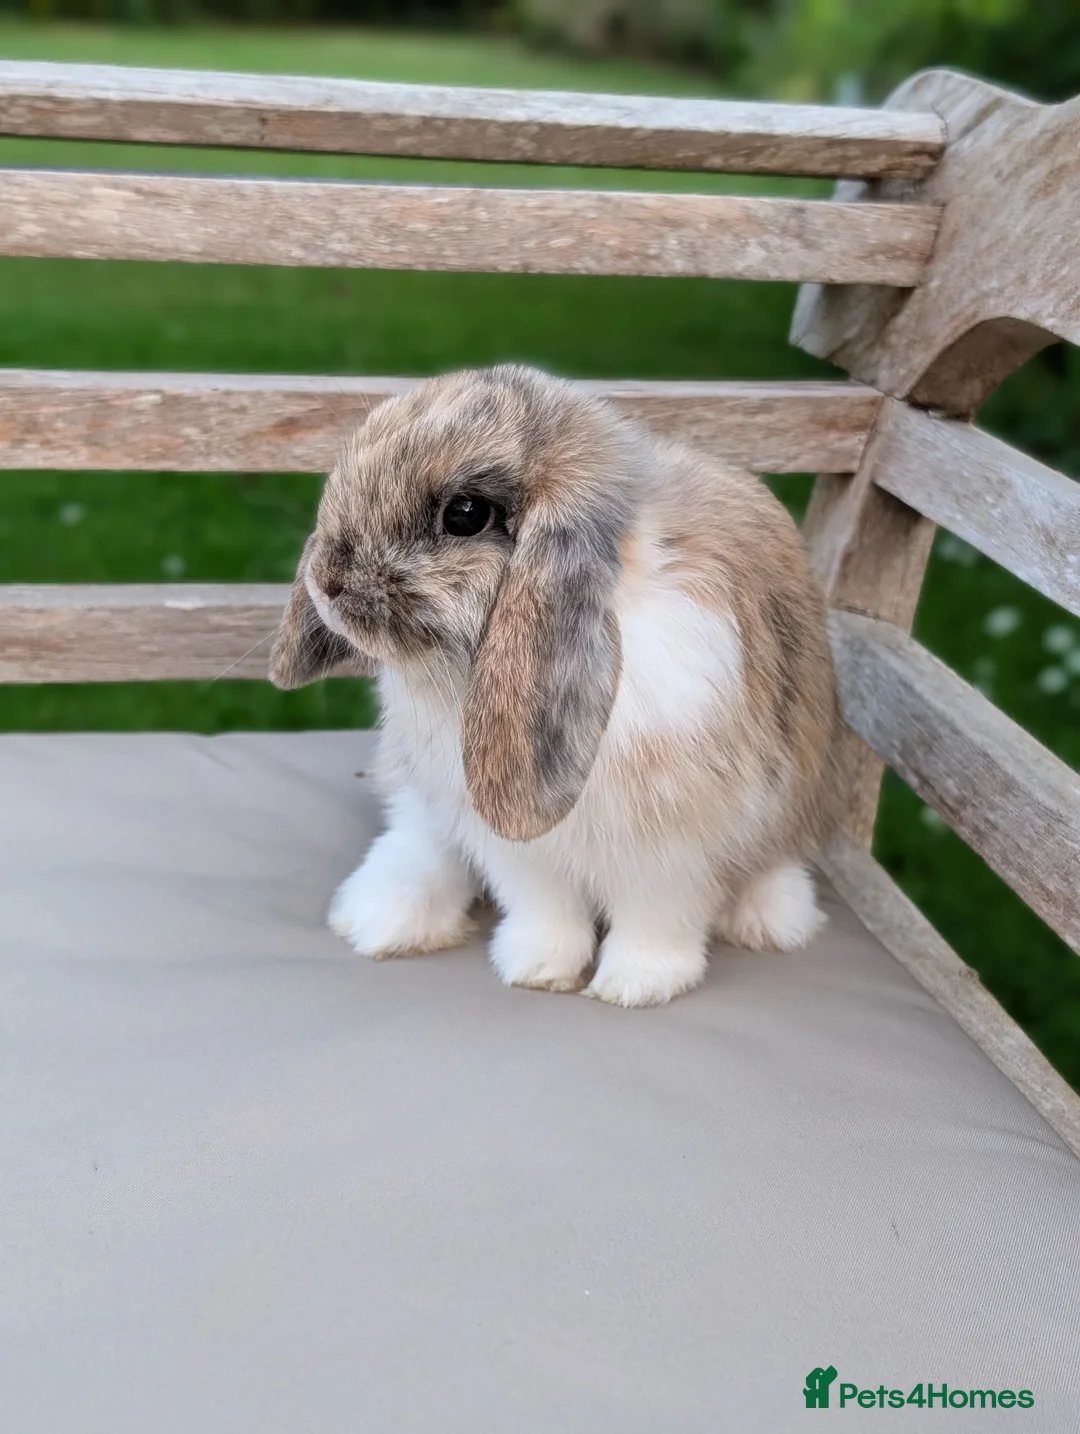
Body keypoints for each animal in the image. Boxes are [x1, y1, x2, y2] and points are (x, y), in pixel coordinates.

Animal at [270, 363, 843, 1007]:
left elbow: (655, 921)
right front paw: (538, 970)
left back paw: (771, 920)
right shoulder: (518, 848)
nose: (327, 581)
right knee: (420, 839)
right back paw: (379, 918)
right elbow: (546, 912)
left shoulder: (672, 851)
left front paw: (634, 986)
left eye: (464, 515)